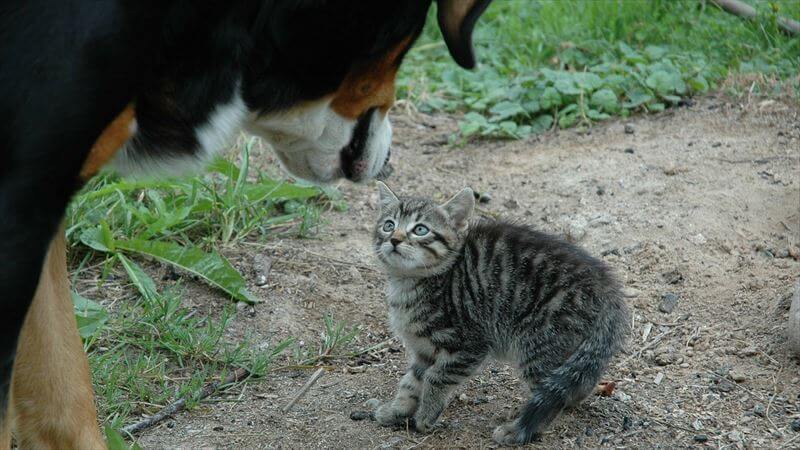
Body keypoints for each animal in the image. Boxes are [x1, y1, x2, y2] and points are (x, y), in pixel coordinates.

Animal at [372, 183, 628, 446]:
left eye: (420, 230)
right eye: (388, 225)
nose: (394, 239)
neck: (409, 283)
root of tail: (607, 288)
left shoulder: (469, 343)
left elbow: (437, 376)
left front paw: (426, 414)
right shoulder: (424, 350)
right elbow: (411, 381)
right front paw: (397, 409)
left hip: (539, 343)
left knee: (551, 393)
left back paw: (517, 430)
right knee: (576, 383)